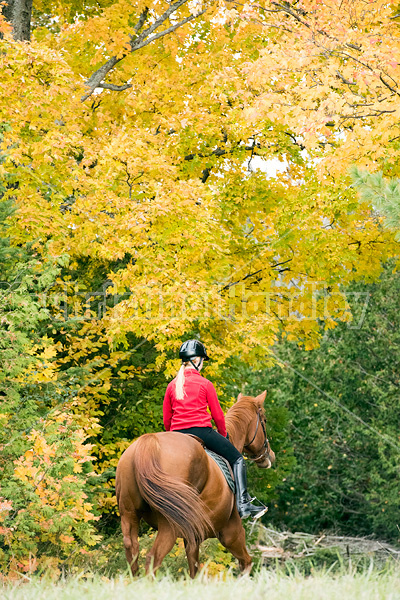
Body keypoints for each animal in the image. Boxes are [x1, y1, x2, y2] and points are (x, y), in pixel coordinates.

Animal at [115, 390, 276, 576]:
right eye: (264, 420)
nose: (270, 455)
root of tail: (149, 442)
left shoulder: (192, 538)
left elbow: (194, 570)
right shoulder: (231, 532)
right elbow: (246, 563)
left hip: (129, 516)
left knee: (132, 553)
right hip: (169, 525)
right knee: (153, 558)